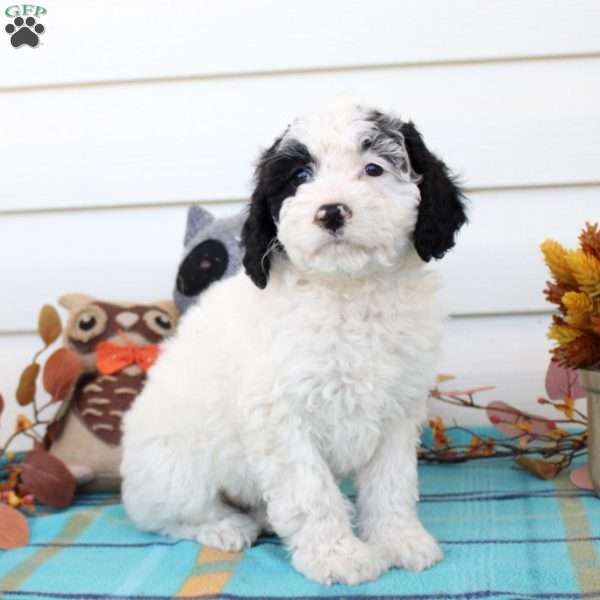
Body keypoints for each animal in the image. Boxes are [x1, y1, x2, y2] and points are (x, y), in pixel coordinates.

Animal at [122, 101, 466, 584]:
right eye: (301, 176)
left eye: (374, 168)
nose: (331, 212)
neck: (348, 292)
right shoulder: (281, 418)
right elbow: (311, 492)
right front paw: (338, 555)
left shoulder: (398, 410)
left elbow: (392, 484)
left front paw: (398, 540)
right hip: (175, 468)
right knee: (167, 516)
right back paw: (225, 527)